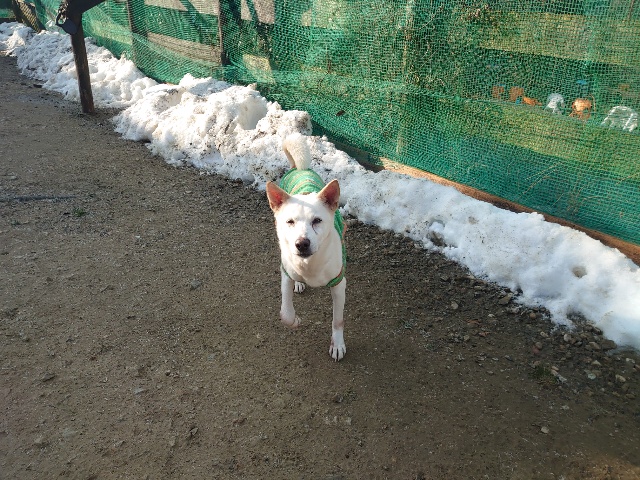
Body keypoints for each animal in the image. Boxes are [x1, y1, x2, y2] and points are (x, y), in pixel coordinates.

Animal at [266, 134, 347, 361]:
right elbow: (285, 313)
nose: (302, 243)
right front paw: (294, 321)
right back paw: (299, 284)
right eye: (290, 222)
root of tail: (298, 168)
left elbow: (337, 320)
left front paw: (337, 345)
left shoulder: (339, 284)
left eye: (317, 221)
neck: (309, 264)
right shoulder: (285, 274)